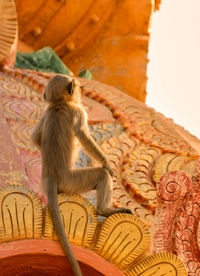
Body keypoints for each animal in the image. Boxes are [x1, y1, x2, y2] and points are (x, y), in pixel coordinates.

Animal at [30, 75, 132, 276]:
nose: (80, 88)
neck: (59, 105)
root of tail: (51, 178)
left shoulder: (46, 114)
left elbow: (36, 138)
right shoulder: (78, 112)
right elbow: (84, 138)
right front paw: (107, 163)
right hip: (73, 181)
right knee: (102, 175)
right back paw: (104, 210)